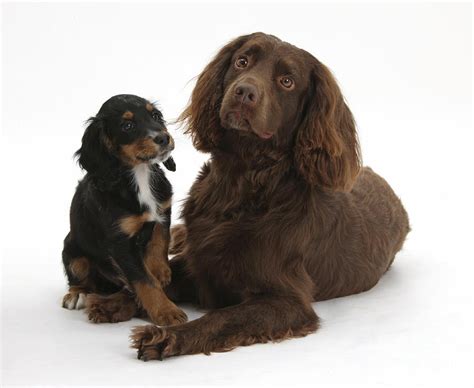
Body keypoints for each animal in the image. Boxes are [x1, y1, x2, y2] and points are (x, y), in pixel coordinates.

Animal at [59, 94, 185, 324]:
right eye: (127, 126)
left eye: (156, 116)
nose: (163, 138)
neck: (139, 174)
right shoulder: (120, 243)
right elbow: (144, 280)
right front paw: (166, 312)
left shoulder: (163, 212)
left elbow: (160, 243)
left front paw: (160, 272)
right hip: (72, 249)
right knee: (78, 276)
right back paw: (77, 294)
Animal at [131, 32, 412, 360]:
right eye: (242, 62)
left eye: (287, 81)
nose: (244, 92)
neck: (241, 184)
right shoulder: (199, 262)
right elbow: (143, 283)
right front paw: (107, 303)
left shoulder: (287, 301)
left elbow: (221, 318)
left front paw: (167, 337)